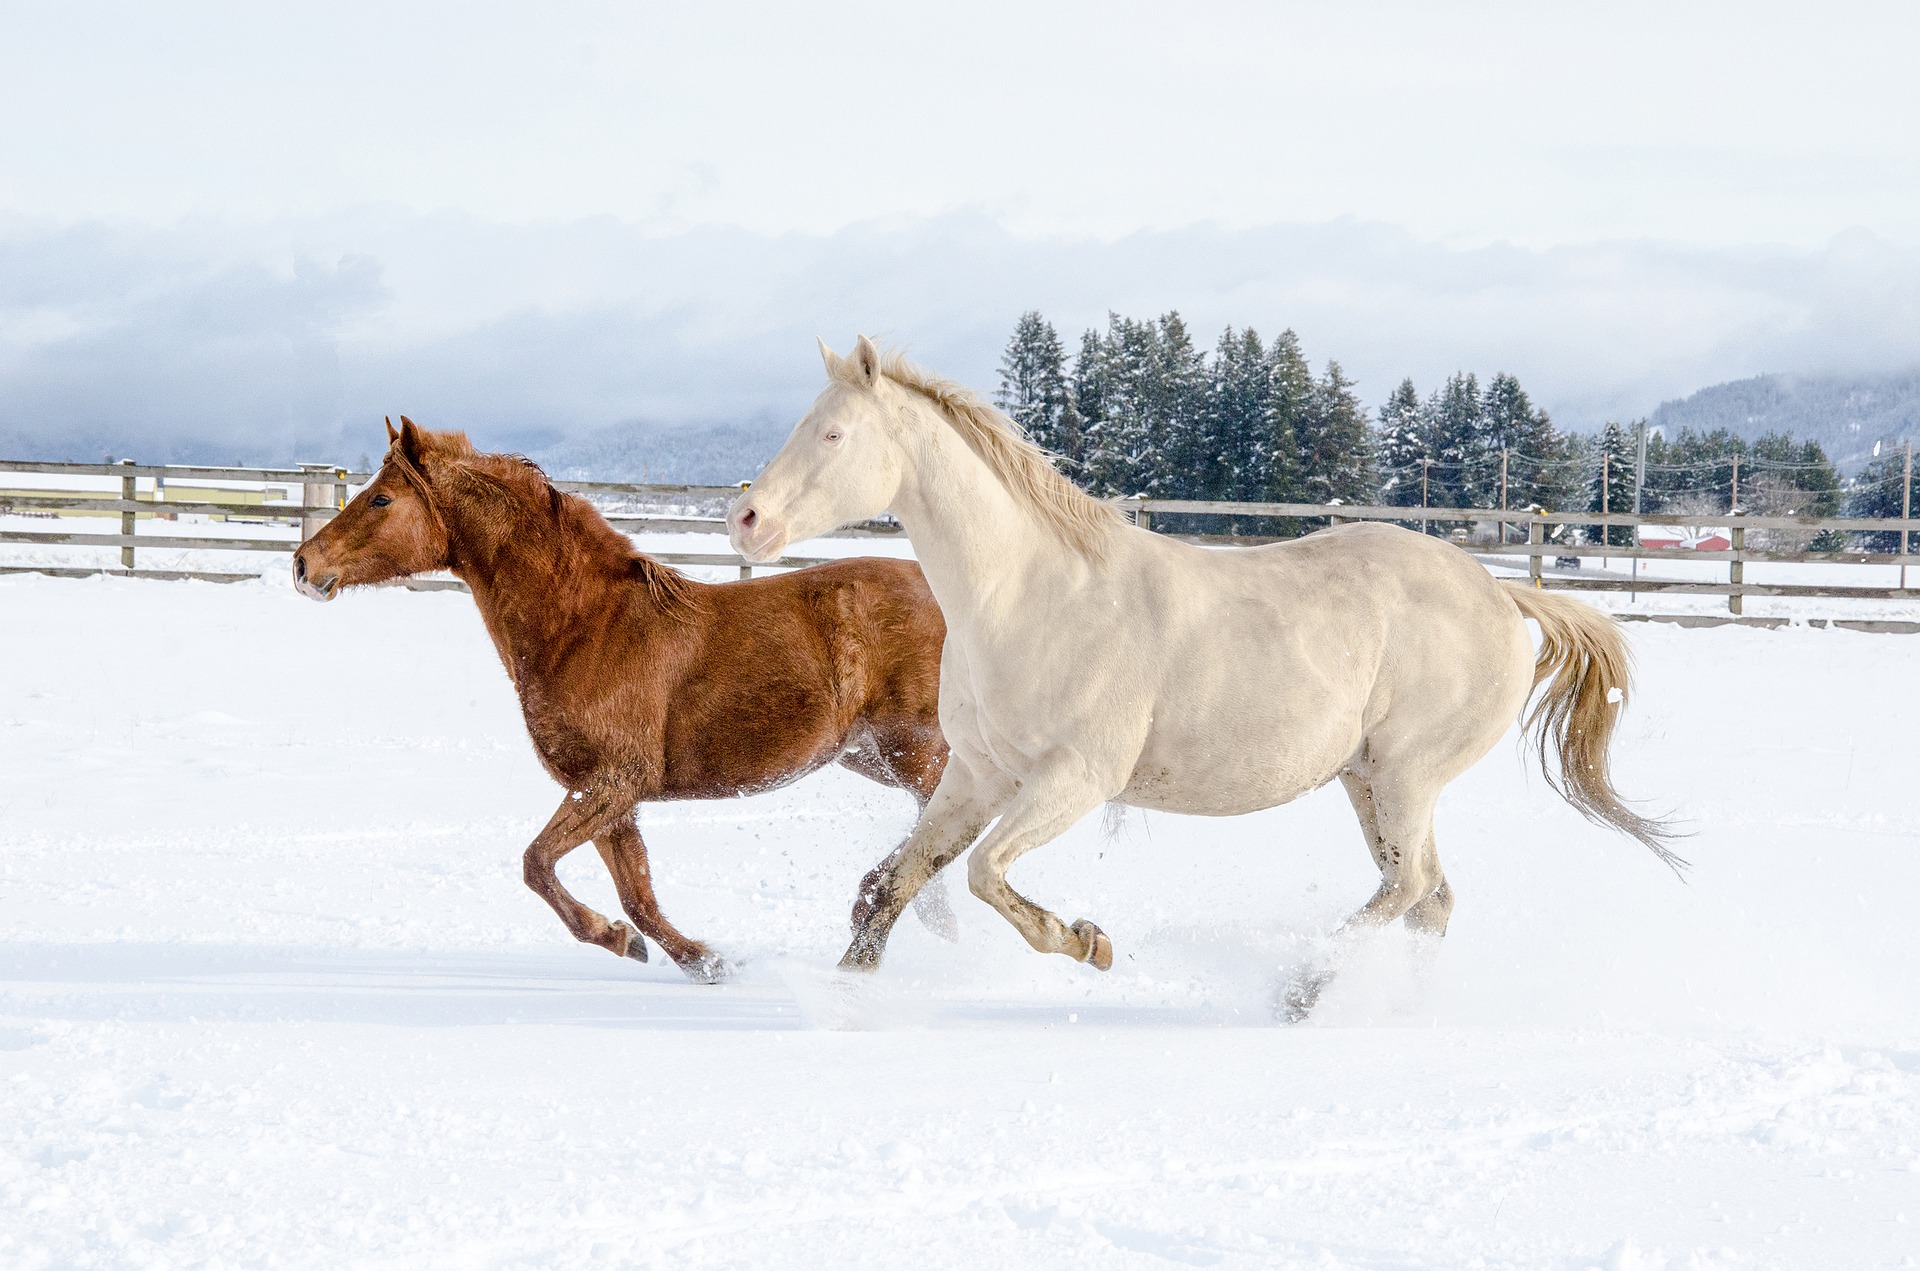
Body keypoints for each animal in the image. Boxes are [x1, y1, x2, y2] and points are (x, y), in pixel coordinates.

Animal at [294, 417, 954, 982]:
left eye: (382, 499)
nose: (303, 566)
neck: (586, 624)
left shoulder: (614, 780)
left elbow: (537, 864)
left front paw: (625, 939)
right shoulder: (612, 798)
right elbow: (637, 897)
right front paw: (699, 960)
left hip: (916, 750)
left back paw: (872, 933)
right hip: (870, 755)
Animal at [727, 336, 1678, 1015]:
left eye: (833, 432)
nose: (746, 519)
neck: (1030, 593)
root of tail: (1501, 593)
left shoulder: (1074, 778)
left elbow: (984, 875)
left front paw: (1089, 941)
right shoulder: (978, 772)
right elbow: (898, 879)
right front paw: (847, 985)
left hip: (1409, 774)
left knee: (1408, 887)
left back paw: (1301, 989)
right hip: (1367, 779)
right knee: (1428, 899)